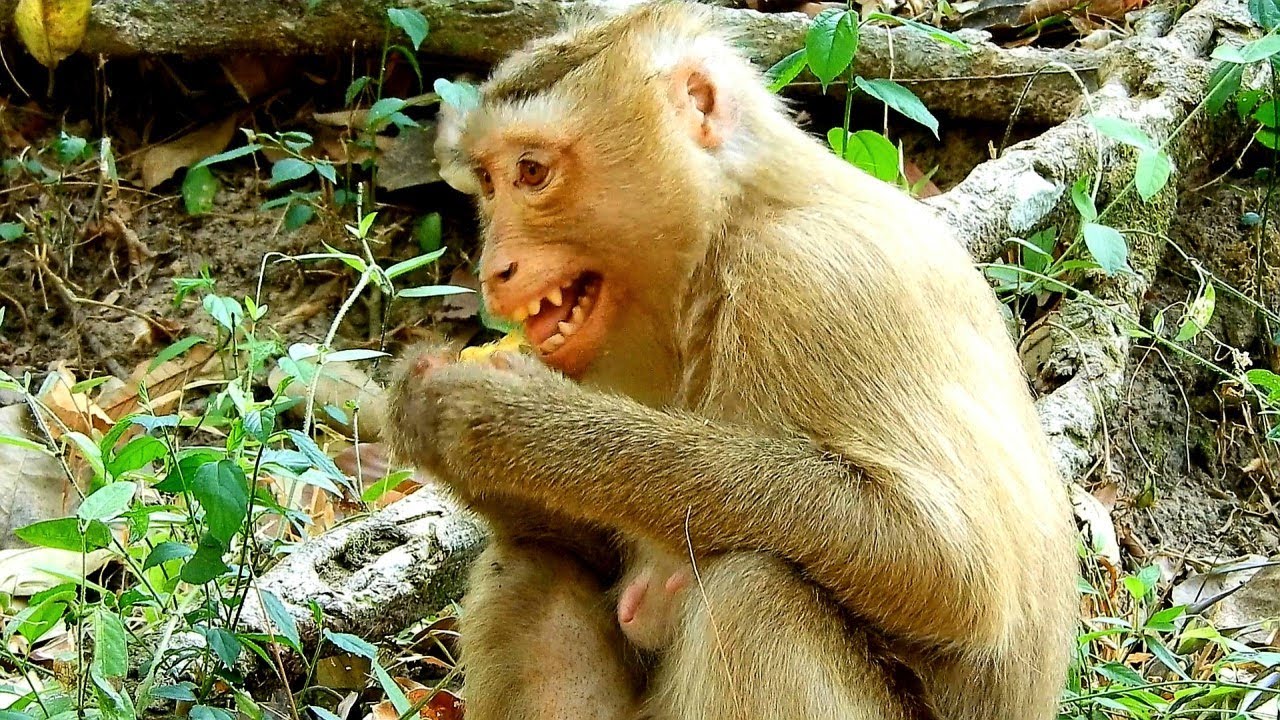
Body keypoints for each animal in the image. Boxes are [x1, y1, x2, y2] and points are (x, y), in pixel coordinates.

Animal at [385, 3, 1080, 719]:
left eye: (531, 172)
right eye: (487, 183)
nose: (493, 268)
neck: (719, 241)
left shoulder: (817, 281)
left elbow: (956, 574)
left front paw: (508, 423)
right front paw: (424, 408)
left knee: (755, 591)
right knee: (530, 564)